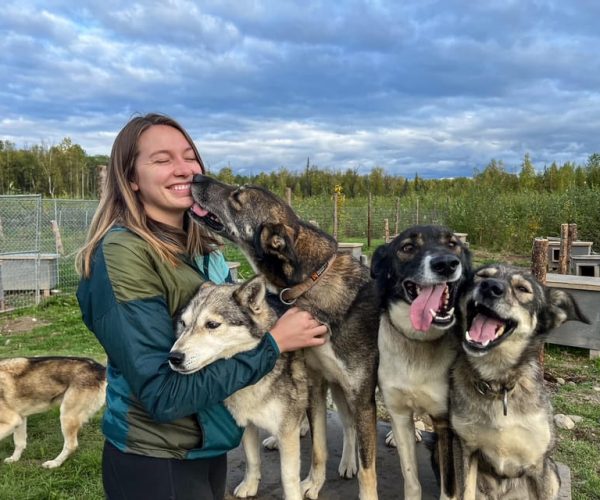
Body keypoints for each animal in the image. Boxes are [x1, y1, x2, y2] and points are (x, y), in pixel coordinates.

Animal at [170, 274, 308, 500]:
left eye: (212, 324)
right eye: (183, 323)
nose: (173, 357)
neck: (251, 379)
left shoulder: (287, 432)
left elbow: (288, 477)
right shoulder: (245, 423)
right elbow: (252, 459)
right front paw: (249, 485)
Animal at [370, 226, 474, 500]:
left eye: (453, 244)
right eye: (407, 248)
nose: (446, 264)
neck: (418, 342)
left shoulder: (446, 423)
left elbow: (450, 486)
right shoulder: (398, 412)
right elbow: (411, 478)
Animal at [452, 264, 588, 498]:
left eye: (523, 289)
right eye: (482, 276)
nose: (490, 286)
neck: (498, 385)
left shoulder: (539, 464)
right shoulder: (466, 449)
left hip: (552, 473)